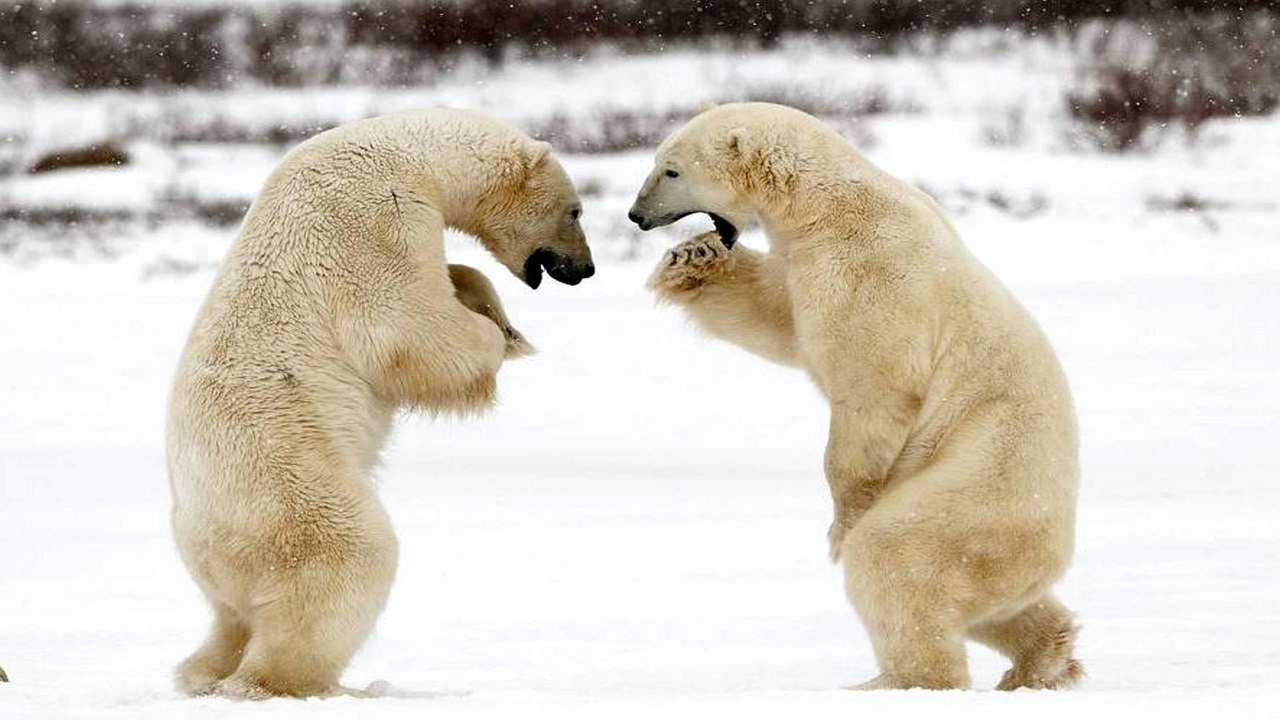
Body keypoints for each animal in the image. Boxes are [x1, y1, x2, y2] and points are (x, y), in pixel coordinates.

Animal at [167, 108, 593, 699]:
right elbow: (406, 325)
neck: (411, 155)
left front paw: (496, 313)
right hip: (288, 482)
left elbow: (455, 280)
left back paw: (205, 672)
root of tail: (200, 535)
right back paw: (321, 686)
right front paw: (498, 339)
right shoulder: (371, 219)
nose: (586, 269)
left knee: (230, 618)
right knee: (349, 559)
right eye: (575, 211)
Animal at [630, 102, 1081, 691]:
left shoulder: (872, 275)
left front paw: (840, 525)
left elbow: (871, 389)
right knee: (995, 605)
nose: (636, 215)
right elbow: (777, 317)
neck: (827, 206)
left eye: (671, 170)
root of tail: (1058, 547)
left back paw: (891, 680)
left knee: (900, 556)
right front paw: (693, 257)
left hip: (980, 486)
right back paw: (1042, 659)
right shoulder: (805, 262)